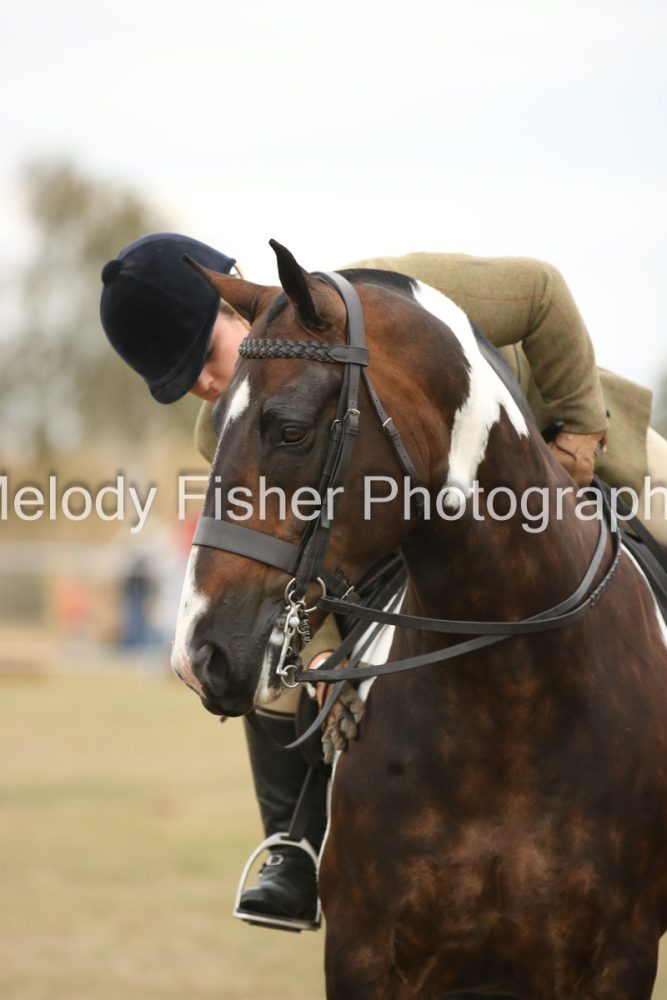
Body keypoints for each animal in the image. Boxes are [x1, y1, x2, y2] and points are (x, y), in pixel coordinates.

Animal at [171, 241, 667, 999]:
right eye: (217, 418)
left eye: (290, 430)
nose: (198, 655)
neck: (510, 699)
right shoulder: (366, 955)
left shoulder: (616, 957)